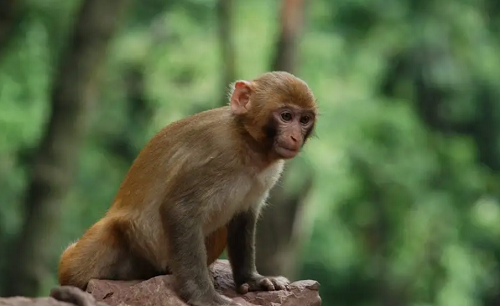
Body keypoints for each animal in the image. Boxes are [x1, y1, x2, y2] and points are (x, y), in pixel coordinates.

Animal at [58, 71, 316, 306]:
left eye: (304, 120)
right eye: (286, 116)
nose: (295, 137)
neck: (248, 144)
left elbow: (243, 217)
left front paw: (251, 280)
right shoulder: (215, 155)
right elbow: (179, 209)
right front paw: (204, 296)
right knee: (84, 258)